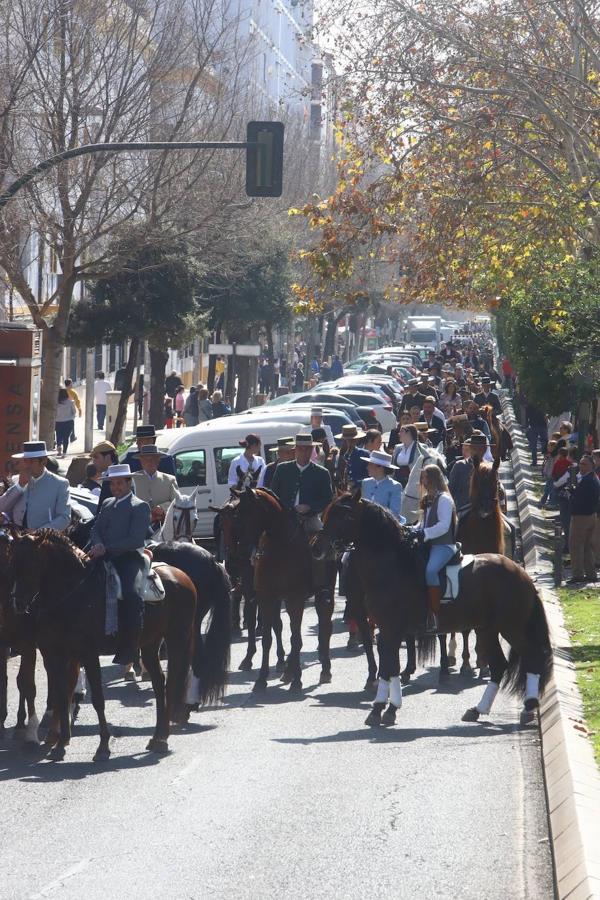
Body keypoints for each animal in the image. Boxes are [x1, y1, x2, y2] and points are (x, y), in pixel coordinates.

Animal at [9, 532, 197, 764]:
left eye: (32, 562)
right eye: (13, 561)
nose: (18, 603)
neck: (73, 595)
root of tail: (181, 575)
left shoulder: (88, 654)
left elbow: (97, 699)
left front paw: (103, 746)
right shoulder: (58, 655)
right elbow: (61, 695)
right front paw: (60, 745)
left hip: (177, 636)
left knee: (171, 682)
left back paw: (163, 738)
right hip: (150, 644)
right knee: (159, 681)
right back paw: (157, 737)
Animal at [314, 492, 552, 732]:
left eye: (344, 514)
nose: (317, 547)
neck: (393, 567)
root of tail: (521, 573)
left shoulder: (392, 628)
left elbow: (390, 666)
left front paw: (386, 709)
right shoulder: (387, 629)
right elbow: (389, 666)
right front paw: (383, 708)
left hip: (511, 627)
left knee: (531, 656)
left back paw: (528, 708)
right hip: (487, 629)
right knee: (499, 666)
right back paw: (478, 710)